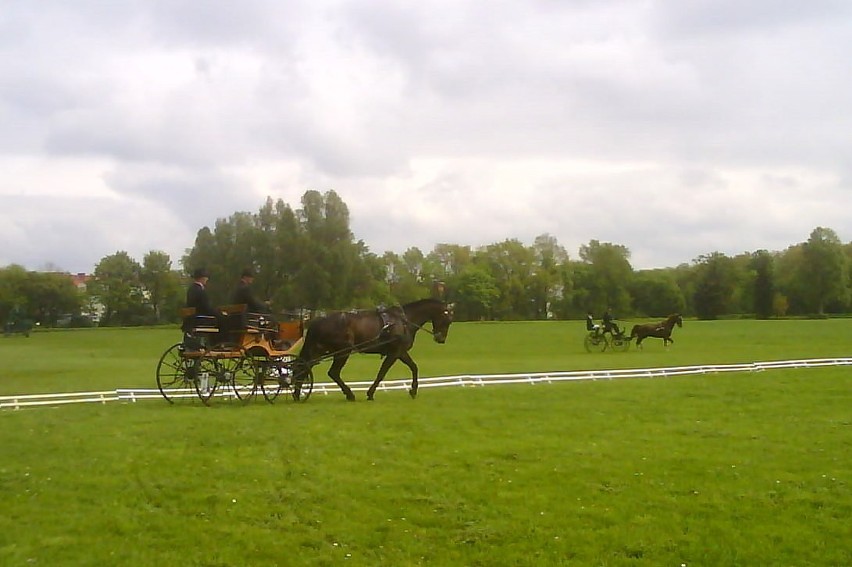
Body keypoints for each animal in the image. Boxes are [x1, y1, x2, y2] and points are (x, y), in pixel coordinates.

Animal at [292, 300, 452, 402]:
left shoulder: (400, 353)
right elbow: (382, 373)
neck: (403, 321)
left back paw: (297, 393)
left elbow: (414, 367)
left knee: (304, 366)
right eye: (448, 320)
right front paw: (370, 393)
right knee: (333, 372)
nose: (441, 338)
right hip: (342, 352)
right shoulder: (394, 353)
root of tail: (318, 321)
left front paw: (413, 390)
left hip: (319, 350)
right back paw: (349, 394)